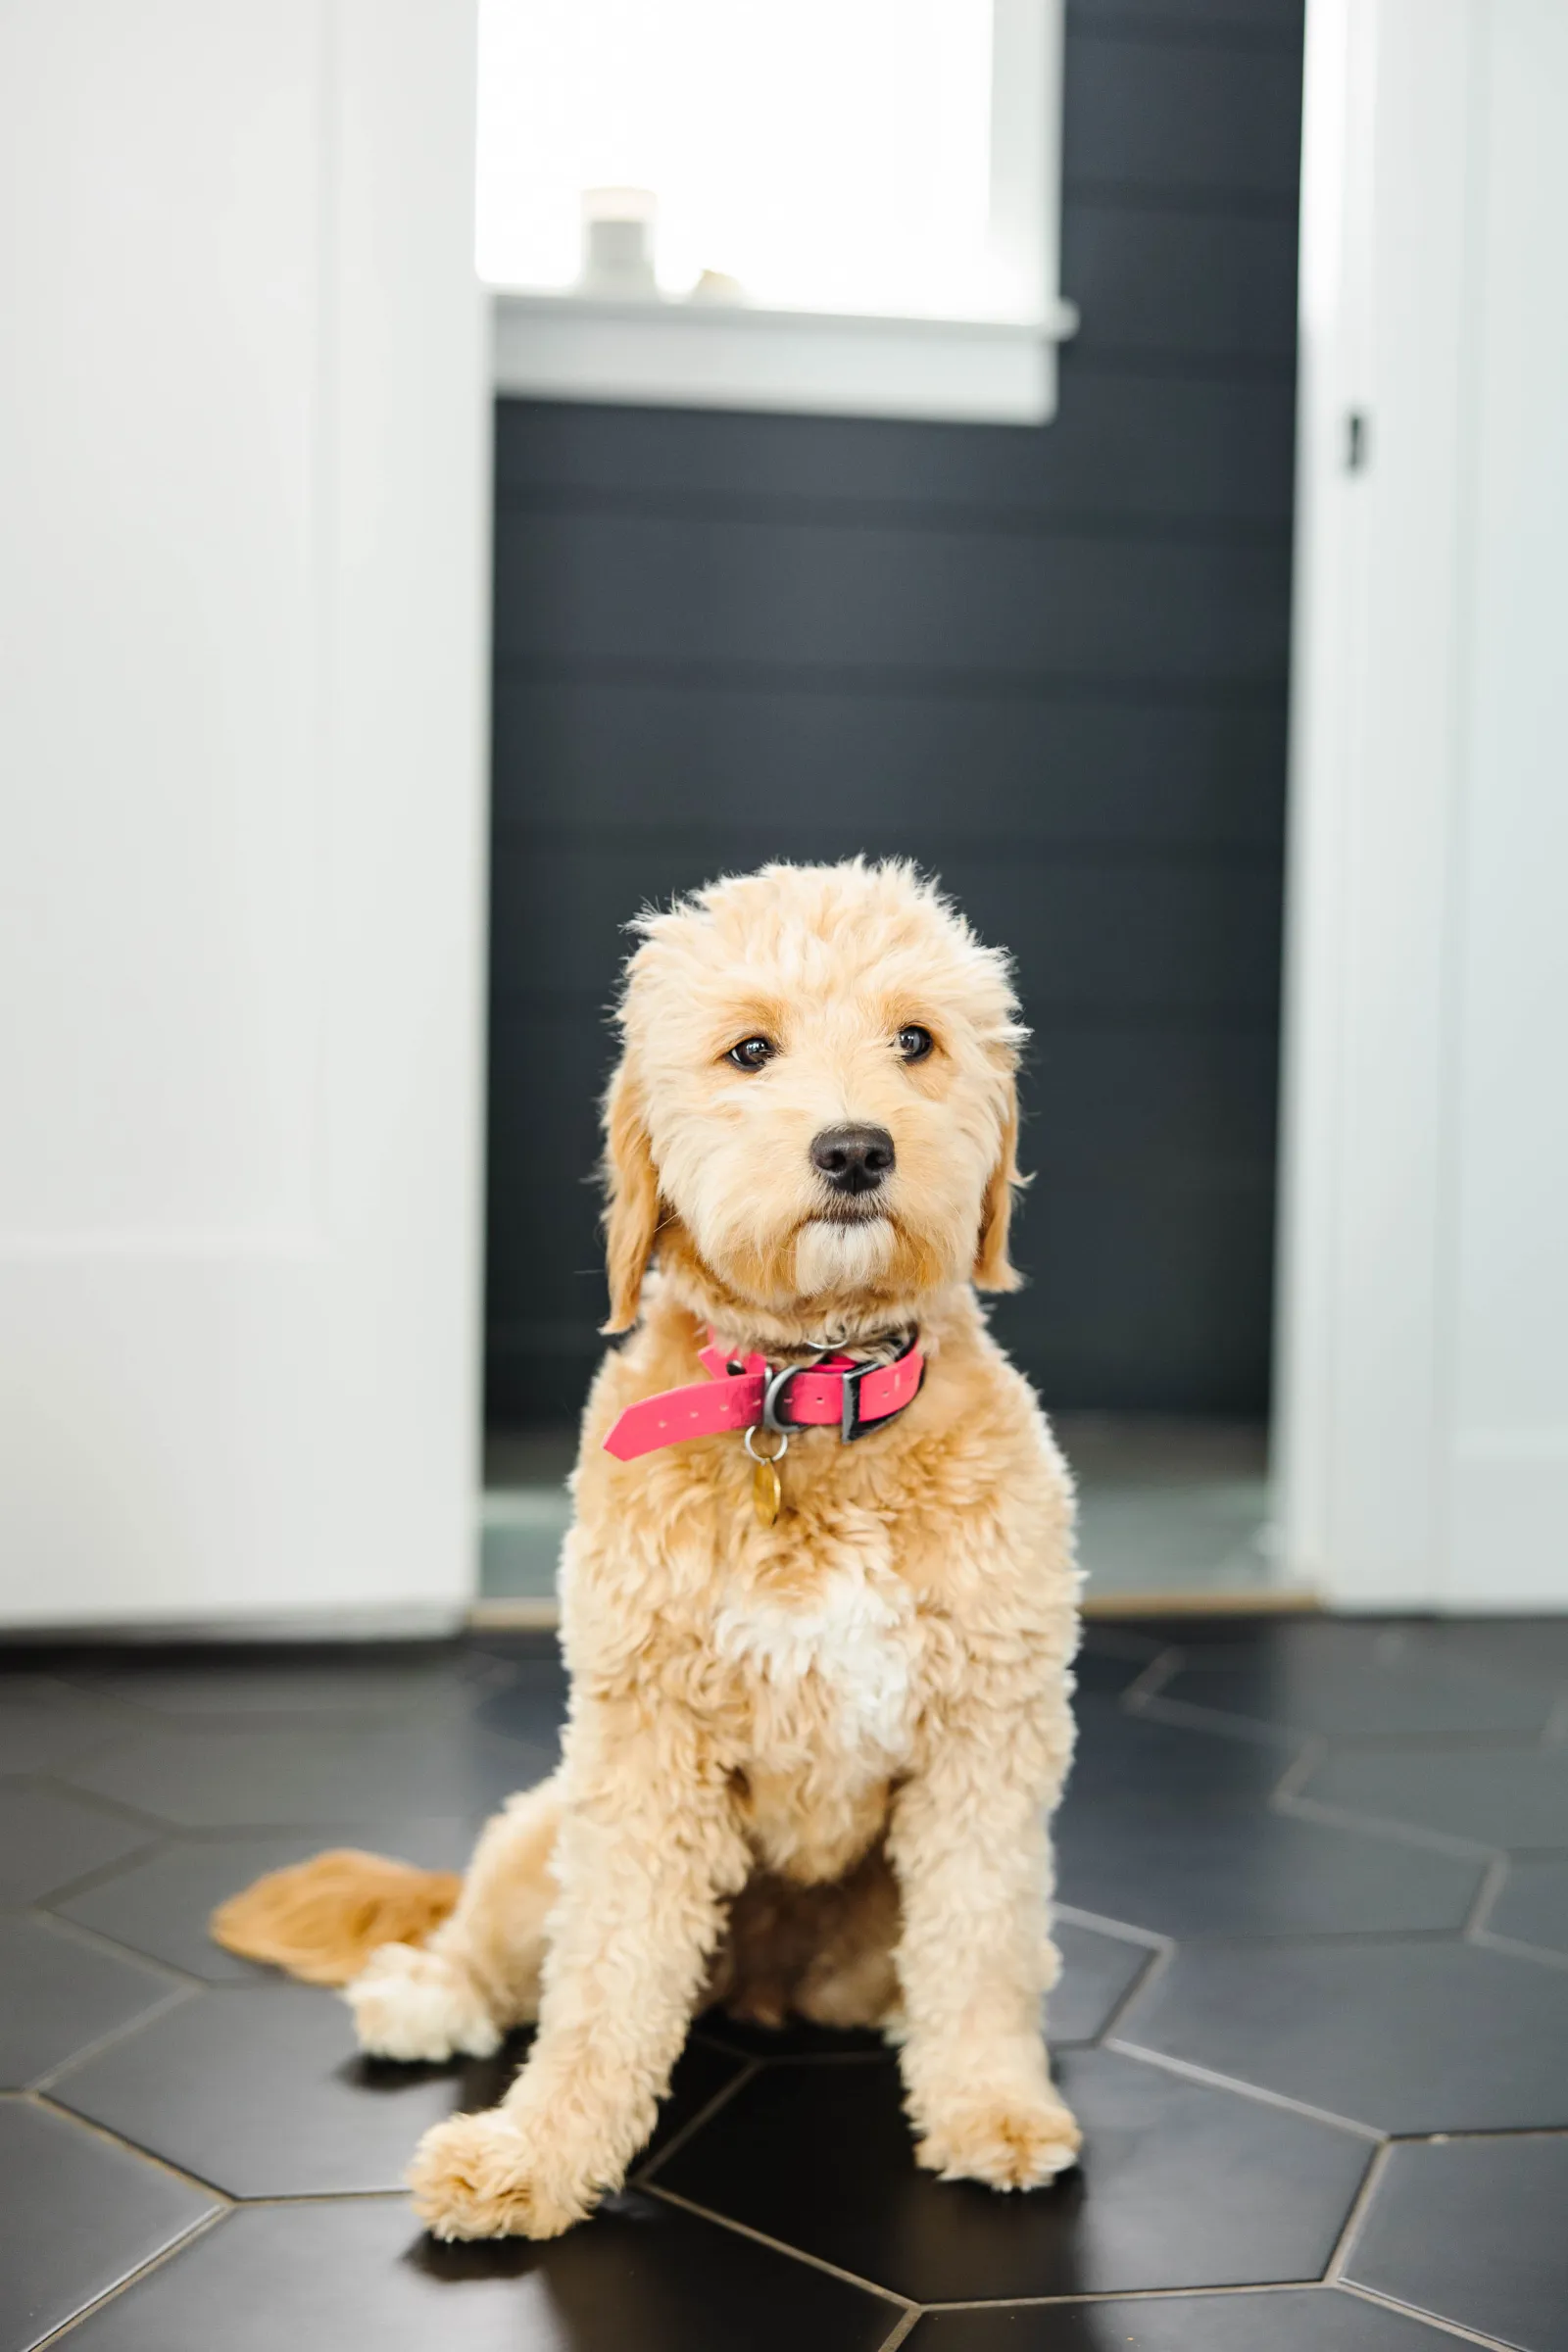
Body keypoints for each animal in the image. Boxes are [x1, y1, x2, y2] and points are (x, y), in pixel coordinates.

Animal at [215, 865, 1086, 2238]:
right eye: (749, 1050)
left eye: (916, 1041)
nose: (855, 1149)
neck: (806, 1399)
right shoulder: (646, 1750)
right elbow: (605, 1980)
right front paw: (539, 2153)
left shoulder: (989, 1739)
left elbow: (982, 1935)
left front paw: (992, 2104)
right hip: (542, 1828)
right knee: (483, 1944)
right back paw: (426, 1996)